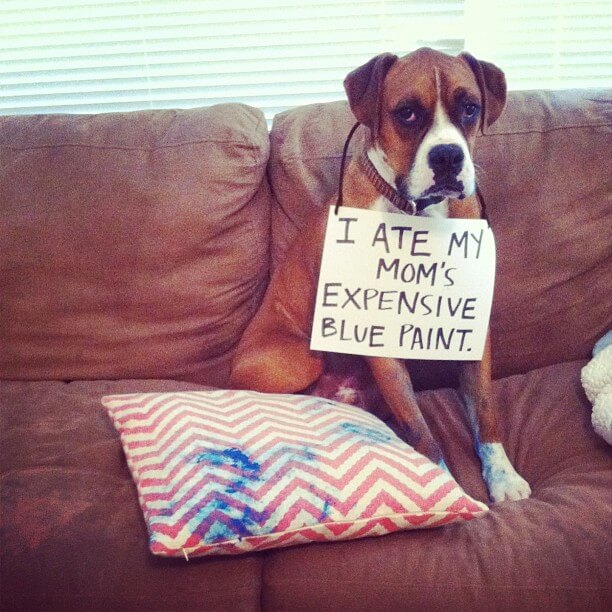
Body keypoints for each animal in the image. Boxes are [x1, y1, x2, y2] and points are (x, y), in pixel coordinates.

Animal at [230, 49, 532, 502]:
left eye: (469, 108)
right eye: (406, 113)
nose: (448, 156)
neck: (423, 217)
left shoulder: (469, 328)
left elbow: (485, 411)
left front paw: (503, 477)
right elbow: (423, 432)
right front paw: (444, 488)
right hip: (299, 361)